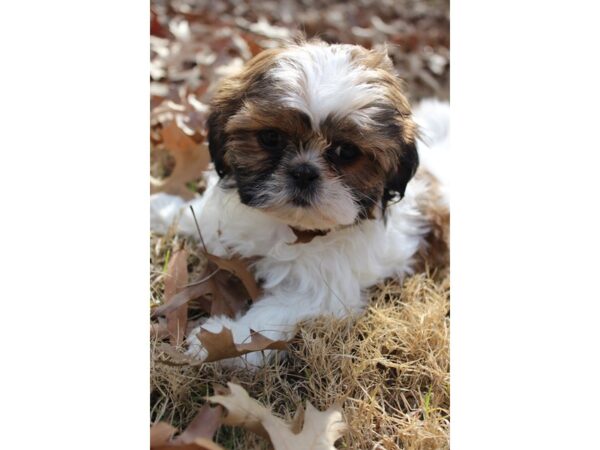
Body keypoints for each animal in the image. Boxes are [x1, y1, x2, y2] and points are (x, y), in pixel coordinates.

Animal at [150, 40, 450, 368]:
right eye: (270, 137)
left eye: (347, 152)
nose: (304, 172)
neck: (290, 225)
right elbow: (199, 216)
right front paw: (161, 209)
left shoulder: (322, 290)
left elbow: (272, 314)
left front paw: (222, 340)